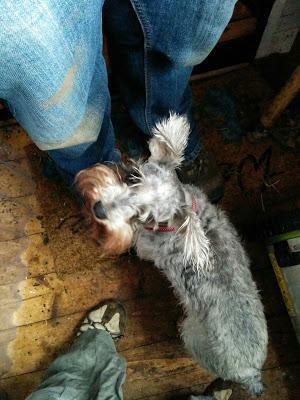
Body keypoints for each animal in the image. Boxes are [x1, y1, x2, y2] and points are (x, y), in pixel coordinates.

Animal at [76, 114, 268, 398]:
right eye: (133, 178)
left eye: (144, 215)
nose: (98, 209)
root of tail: (251, 374)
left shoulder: (145, 246)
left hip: (193, 336)